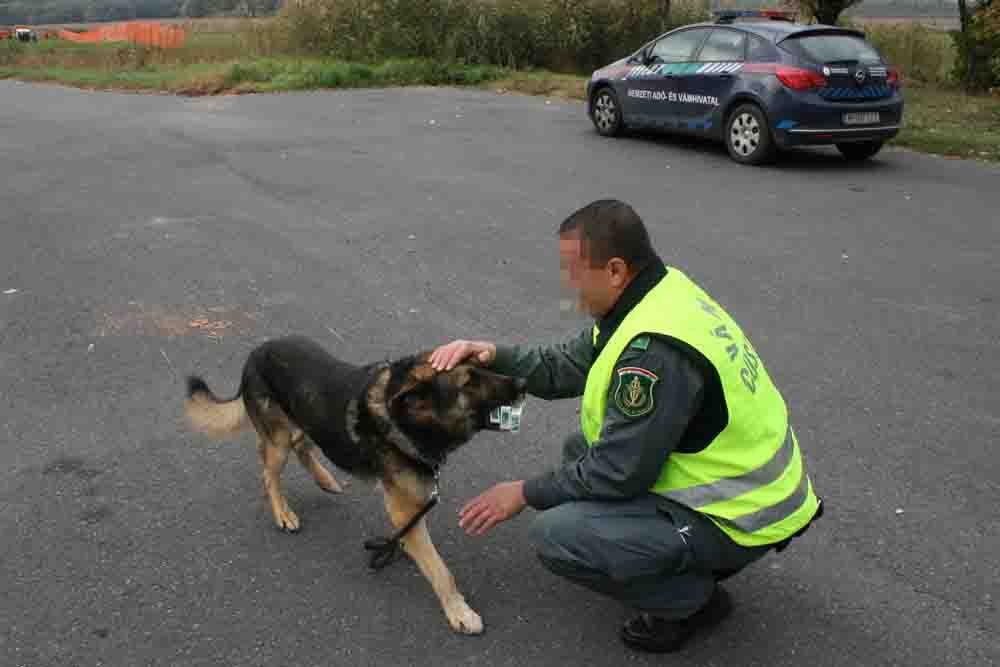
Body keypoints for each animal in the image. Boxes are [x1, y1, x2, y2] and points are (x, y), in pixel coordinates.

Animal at [184, 336, 528, 636]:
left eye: (484, 365)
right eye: (468, 381)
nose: (523, 383)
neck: (405, 418)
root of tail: (255, 353)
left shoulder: (411, 508)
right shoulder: (405, 510)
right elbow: (441, 569)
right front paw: (459, 611)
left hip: (309, 423)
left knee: (302, 445)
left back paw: (325, 479)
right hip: (279, 441)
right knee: (271, 473)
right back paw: (283, 512)